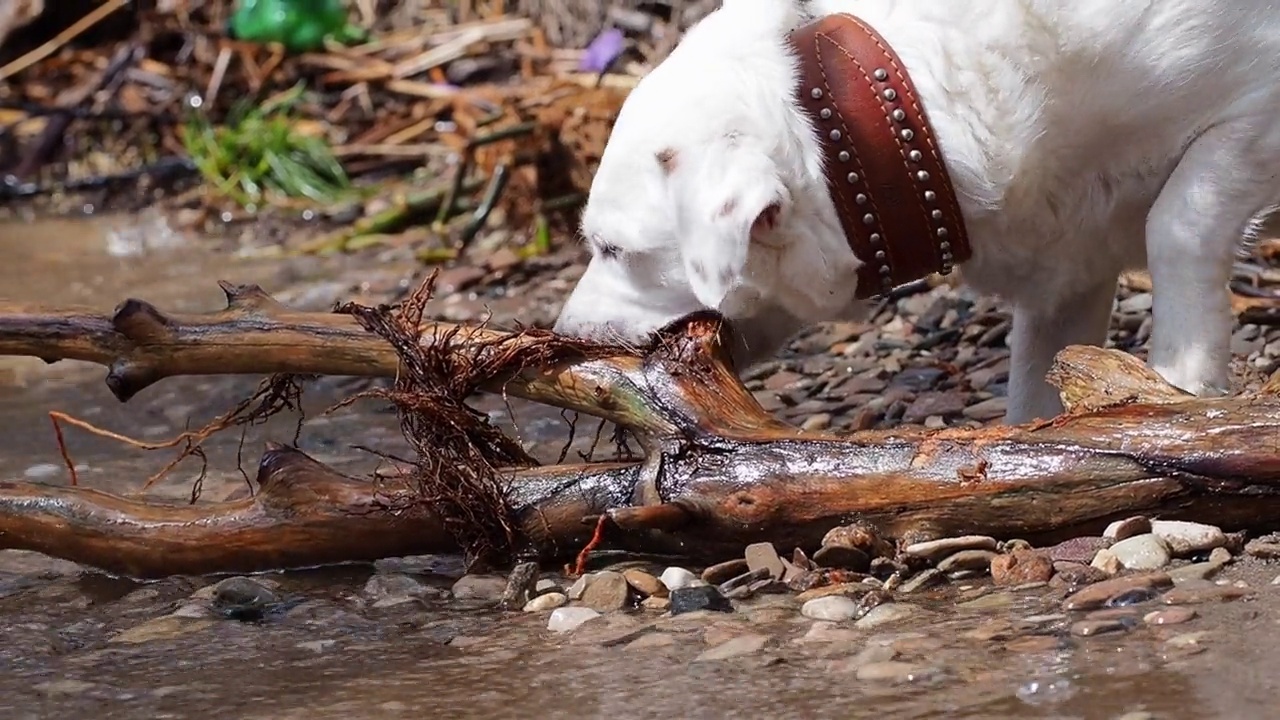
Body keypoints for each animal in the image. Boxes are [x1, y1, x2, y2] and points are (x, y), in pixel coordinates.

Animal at [552, 0, 1280, 420]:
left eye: (614, 250)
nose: (559, 336)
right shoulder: (1072, 259)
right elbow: (1041, 380)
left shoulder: (1254, 105)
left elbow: (1177, 226)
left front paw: (1181, 382)